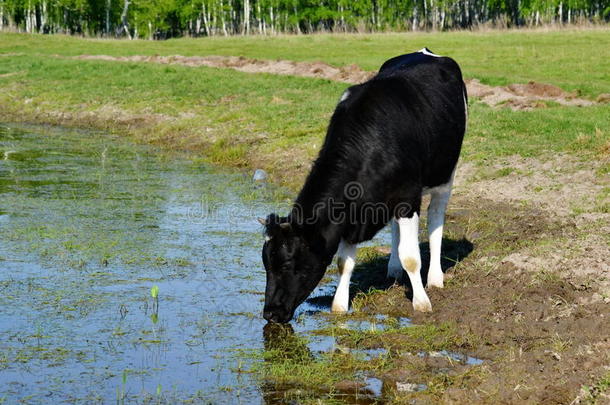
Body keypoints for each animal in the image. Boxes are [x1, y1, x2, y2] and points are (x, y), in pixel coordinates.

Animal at [258, 49, 466, 324]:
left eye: (287, 263)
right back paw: (393, 269)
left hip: (446, 174)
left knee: (435, 219)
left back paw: (435, 277)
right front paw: (339, 305)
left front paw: (421, 303)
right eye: (266, 264)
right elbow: (344, 262)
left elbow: (411, 257)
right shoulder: (349, 215)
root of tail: (425, 52)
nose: (270, 313)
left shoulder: (407, 199)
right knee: (396, 231)